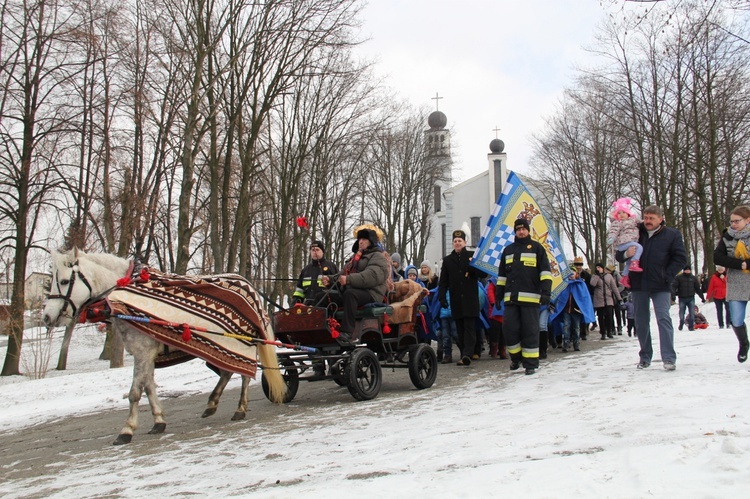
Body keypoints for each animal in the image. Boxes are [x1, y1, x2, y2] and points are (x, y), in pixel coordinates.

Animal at [42, 248, 286, 448]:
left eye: (63, 281)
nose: (46, 317)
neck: (125, 299)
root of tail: (248, 285)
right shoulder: (146, 354)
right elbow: (149, 388)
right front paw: (158, 421)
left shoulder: (143, 352)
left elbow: (134, 392)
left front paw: (126, 430)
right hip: (224, 346)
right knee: (226, 372)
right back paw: (212, 403)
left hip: (241, 342)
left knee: (244, 375)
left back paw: (240, 408)